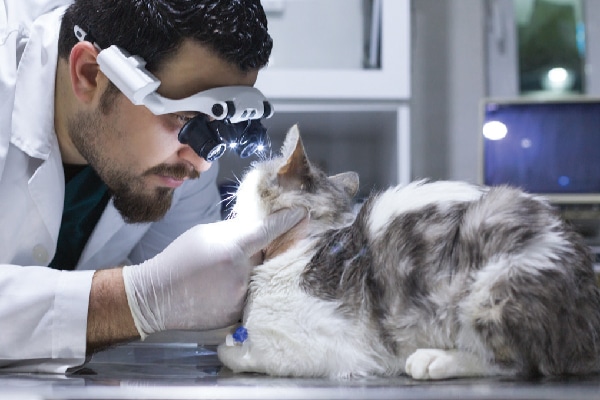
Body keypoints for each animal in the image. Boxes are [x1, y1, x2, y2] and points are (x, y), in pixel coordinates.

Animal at [218, 124, 600, 378]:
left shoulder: (312, 347)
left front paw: (230, 347)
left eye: (250, 178)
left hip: (491, 279)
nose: (232, 193)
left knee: (518, 364)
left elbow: (241, 355)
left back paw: (435, 360)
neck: (310, 240)